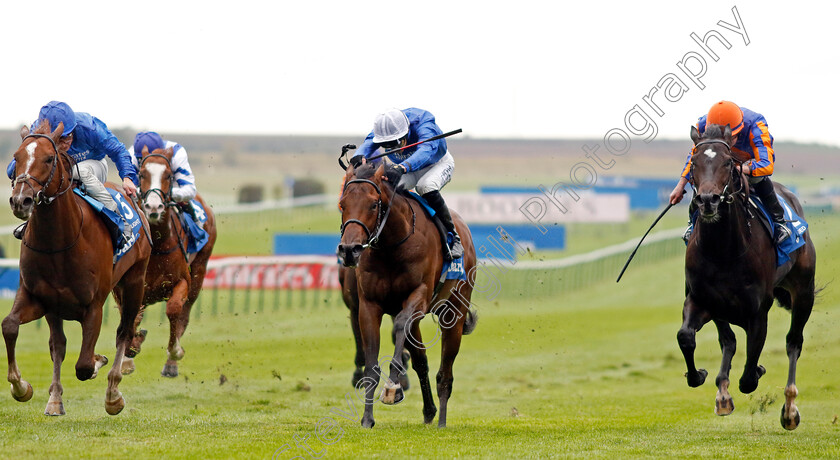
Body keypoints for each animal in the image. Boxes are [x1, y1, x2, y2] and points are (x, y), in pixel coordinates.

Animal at [2, 120, 151, 416]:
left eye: (49, 158)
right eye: (16, 157)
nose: (20, 200)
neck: (60, 242)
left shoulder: (93, 306)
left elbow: (83, 365)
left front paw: (98, 364)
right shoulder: (39, 298)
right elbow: (11, 325)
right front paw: (22, 388)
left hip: (134, 281)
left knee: (124, 332)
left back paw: (113, 393)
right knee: (58, 345)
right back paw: (55, 398)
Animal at [131, 146, 217, 378]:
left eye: (169, 175)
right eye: (142, 174)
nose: (153, 207)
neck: (158, 245)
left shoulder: (182, 282)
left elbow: (174, 310)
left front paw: (175, 351)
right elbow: (134, 315)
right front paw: (130, 350)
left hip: (199, 269)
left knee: (184, 314)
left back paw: (171, 364)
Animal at [336, 162, 480, 428]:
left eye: (374, 204)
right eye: (342, 203)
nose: (350, 250)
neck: (391, 247)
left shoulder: (419, 297)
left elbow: (400, 325)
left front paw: (393, 386)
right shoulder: (367, 306)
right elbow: (371, 365)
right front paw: (367, 419)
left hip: (454, 312)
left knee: (445, 372)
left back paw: (441, 421)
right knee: (421, 361)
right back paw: (429, 411)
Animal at [680, 123, 816, 432]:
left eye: (728, 163)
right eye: (693, 163)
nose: (708, 201)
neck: (723, 250)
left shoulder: (757, 312)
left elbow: (750, 375)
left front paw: (758, 369)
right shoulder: (701, 299)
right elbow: (687, 337)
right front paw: (700, 376)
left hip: (803, 291)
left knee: (794, 342)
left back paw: (789, 409)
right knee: (728, 340)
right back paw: (722, 393)